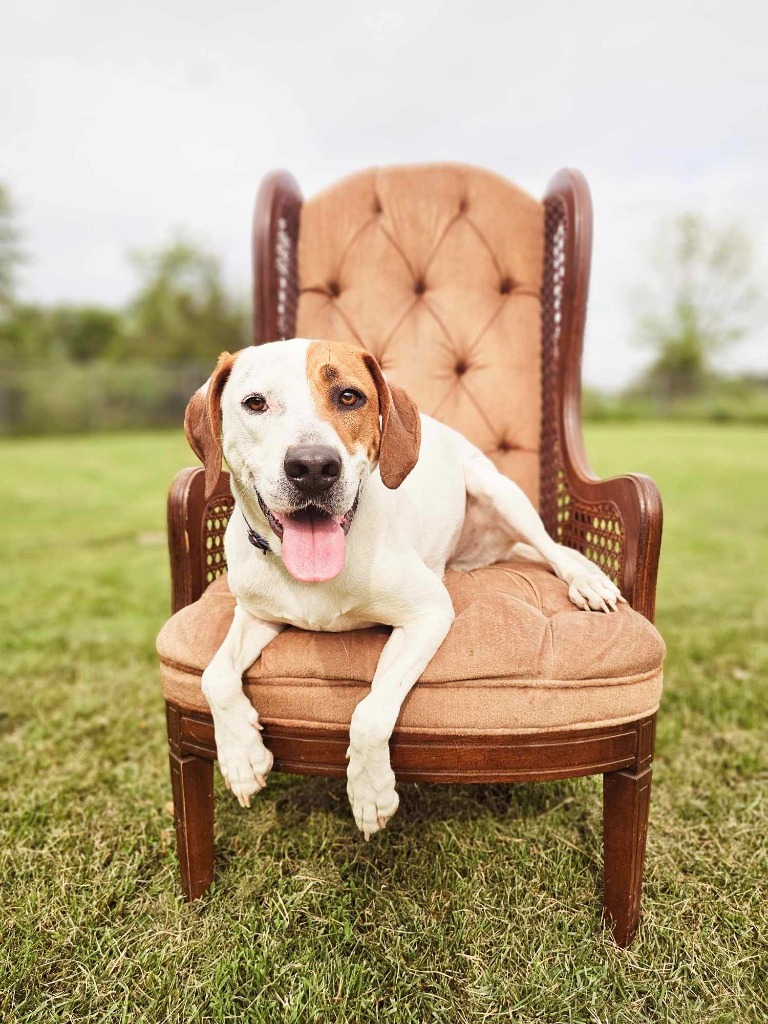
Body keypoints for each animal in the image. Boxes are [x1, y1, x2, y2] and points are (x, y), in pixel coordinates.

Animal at [185, 339, 626, 835]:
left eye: (349, 397)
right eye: (255, 403)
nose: (314, 467)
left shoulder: (428, 613)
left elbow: (371, 710)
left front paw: (369, 791)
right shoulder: (256, 614)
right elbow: (214, 675)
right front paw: (241, 756)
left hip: (498, 490)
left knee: (553, 548)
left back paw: (585, 580)